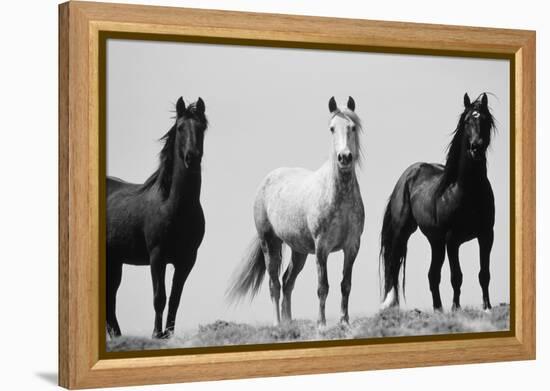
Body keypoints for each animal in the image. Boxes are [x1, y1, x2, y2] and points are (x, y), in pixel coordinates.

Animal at [106, 97, 208, 340]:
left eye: (202, 127)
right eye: (180, 128)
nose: (192, 157)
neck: (173, 206)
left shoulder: (187, 260)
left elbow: (175, 299)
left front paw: (168, 334)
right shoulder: (157, 256)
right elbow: (159, 297)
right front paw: (155, 334)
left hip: (114, 262)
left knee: (110, 298)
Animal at [229, 96, 366, 326]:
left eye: (353, 127)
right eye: (331, 128)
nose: (344, 157)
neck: (338, 196)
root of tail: (267, 180)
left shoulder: (352, 246)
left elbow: (345, 284)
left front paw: (344, 322)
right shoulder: (322, 248)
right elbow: (323, 287)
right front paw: (321, 324)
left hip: (299, 251)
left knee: (287, 281)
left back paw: (288, 322)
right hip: (270, 243)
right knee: (274, 284)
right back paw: (278, 324)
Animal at [382, 92, 498, 312]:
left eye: (486, 120)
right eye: (467, 120)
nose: (476, 148)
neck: (467, 190)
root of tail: (407, 176)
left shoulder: (486, 235)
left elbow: (484, 274)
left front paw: (486, 306)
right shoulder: (452, 240)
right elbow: (456, 276)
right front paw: (456, 308)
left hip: (436, 242)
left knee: (432, 275)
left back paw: (438, 309)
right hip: (404, 232)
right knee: (393, 265)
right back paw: (390, 304)